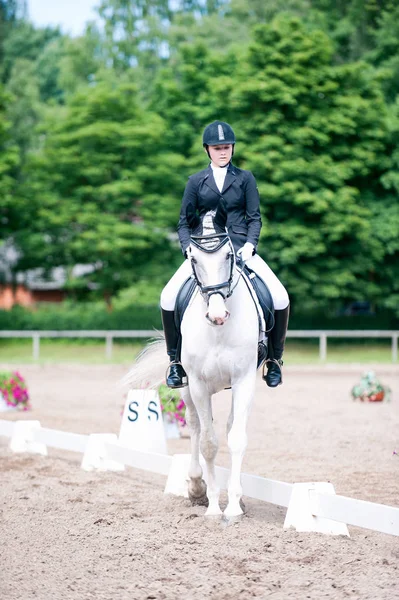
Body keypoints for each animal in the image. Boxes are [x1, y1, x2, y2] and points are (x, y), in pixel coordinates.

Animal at [126, 204, 260, 516]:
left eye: (229, 255)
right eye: (194, 259)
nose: (218, 315)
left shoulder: (244, 379)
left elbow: (237, 439)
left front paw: (233, 505)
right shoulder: (197, 383)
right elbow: (208, 443)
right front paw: (212, 506)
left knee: (228, 425)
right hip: (188, 387)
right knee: (196, 426)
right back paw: (197, 487)